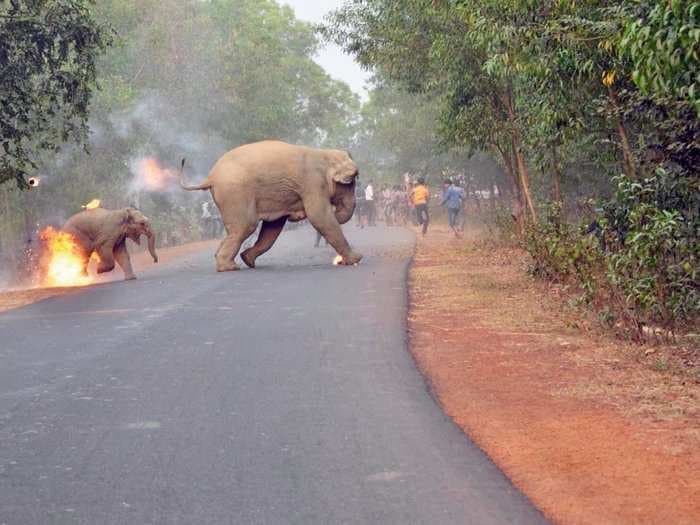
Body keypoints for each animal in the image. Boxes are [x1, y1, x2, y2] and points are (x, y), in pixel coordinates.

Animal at [178, 140, 364, 270]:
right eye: (351, 182)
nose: (337, 212)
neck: (324, 154)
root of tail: (211, 177)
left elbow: (273, 227)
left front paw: (248, 258)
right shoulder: (313, 184)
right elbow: (319, 216)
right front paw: (356, 259)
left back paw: (237, 262)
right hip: (235, 193)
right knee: (246, 226)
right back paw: (229, 267)